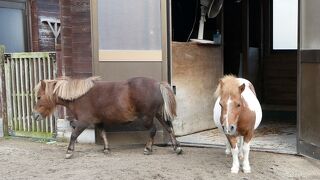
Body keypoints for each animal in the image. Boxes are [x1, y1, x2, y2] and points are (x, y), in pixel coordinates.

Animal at [33, 76, 182, 158]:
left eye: (39, 97)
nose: (35, 115)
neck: (79, 96)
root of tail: (158, 84)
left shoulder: (83, 122)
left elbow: (73, 135)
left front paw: (69, 152)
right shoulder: (99, 121)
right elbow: (103, 134)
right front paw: (106, 149)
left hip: (147, 117)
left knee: (153, 130)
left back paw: (148, 149)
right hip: (159, 114)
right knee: (169, 128)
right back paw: (177, 148)